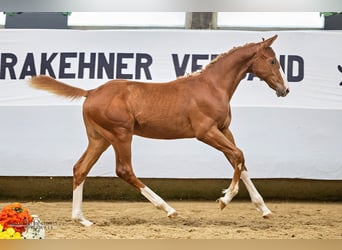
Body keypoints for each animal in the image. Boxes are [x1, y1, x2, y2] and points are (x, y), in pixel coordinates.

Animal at [30, 34, 290, 227]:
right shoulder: (205, 132)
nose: (285, 89)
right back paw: (168, 209)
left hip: (100, 139)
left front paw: (264, 209)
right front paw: (225, 199)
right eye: (272, 61)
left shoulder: (224, 130)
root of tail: (91, 92)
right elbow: (238, 155)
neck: (212, 86)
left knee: (80, 168)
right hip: (121, 135)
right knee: (124, 170)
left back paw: (82, 219)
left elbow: (240, 160)